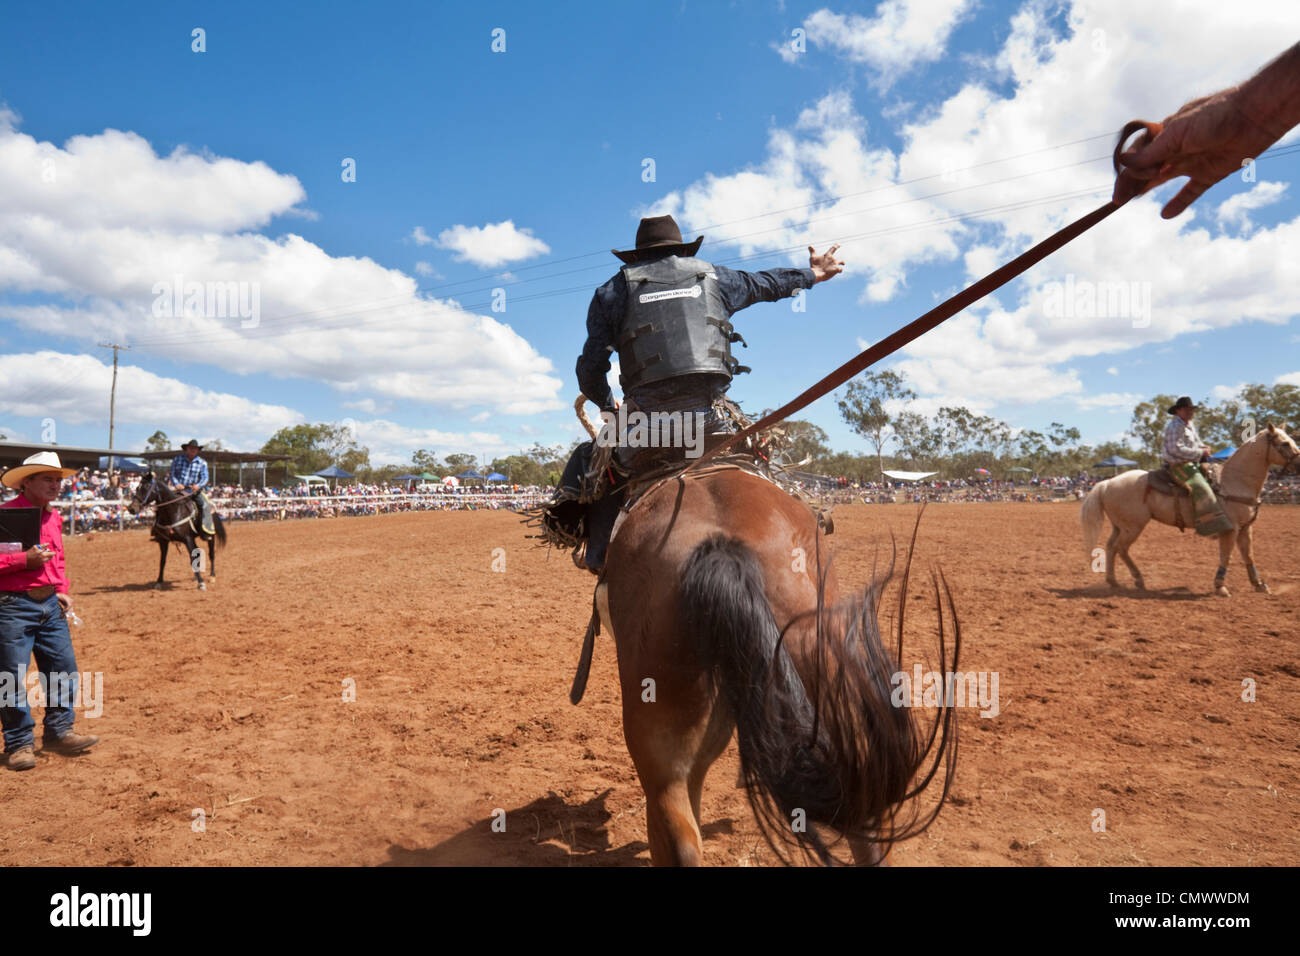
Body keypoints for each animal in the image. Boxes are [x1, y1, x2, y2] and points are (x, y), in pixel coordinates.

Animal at [1081, 426, 1294, 598]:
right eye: (1285, 443)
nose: (1298, 463)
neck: (1235, 481)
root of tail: (1108, 483)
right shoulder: (1231, 529)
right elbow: (1226, 555)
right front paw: (1220, 587)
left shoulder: (1245, 528)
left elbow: (1248, 555)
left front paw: (1259, 585)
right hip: (1132, 527)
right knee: (1121, 548)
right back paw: (1138, 579)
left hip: (1120, 526)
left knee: (1111, 547)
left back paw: (1113, 581)